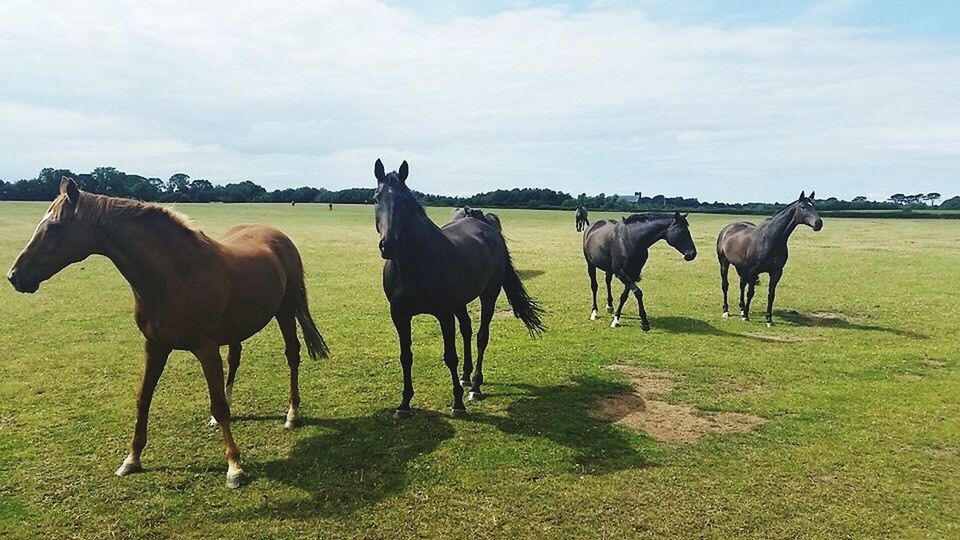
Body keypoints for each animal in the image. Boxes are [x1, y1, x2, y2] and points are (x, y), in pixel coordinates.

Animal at [5, 178, 330, 490]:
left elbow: (218, 404)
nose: (14, 276)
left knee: (292, 354)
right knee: (236, 358)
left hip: (285, 311)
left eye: (55, 227)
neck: (176, 274)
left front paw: (234, 467)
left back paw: (292, 414)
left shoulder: (206, 349)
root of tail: (277, 235)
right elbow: (144, 398)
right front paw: (132, 459)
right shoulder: (155, 346)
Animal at [374, 158, 544, 416]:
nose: (388, 245)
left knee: (482, 336)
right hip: (460, 302)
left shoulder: (444, 314)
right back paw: (465, 376)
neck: (415, 264)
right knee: (467, 329)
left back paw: (475, 386)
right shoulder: (399, 315)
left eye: (405, 201)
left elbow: (450, 356)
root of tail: (487, 227)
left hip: (488, 294)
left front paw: (458, 402)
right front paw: (404, 403)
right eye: (376, 197)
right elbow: (406, 356)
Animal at [716, 191, 820, 324]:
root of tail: (727, 229)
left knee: (741, 285)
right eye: (803, 207)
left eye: (814, 206)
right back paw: (726, 311)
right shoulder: (753, 270)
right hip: (724, 263)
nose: (818, 223)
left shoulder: (776, 272)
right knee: (725, 285)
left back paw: (742, 308)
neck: (770, 239)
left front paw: (769, 319)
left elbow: (771, 294)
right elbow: (750, 292)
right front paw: (746, 316)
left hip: (741, 267)